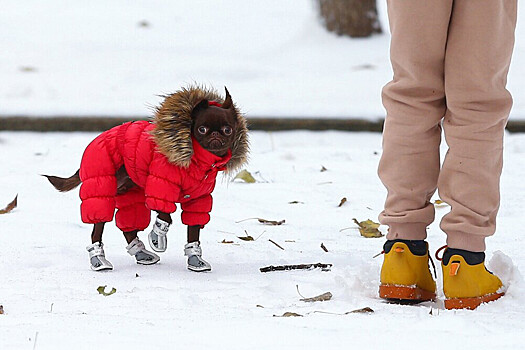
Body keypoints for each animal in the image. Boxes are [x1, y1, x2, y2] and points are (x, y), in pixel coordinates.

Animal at [45, 86, 250, 272]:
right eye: (202, 129)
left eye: (227, 129)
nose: (215, 134)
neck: (196, 161)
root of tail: (96, 140)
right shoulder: (159, 187)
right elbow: (165, 214)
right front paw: (157, 236)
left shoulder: (198, 200)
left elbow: (193, 230)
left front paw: (195, 258)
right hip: (101, 193)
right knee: (98, 230)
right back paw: (99, 260)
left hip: (129, 194)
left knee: (128, 227)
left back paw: (140, 253)